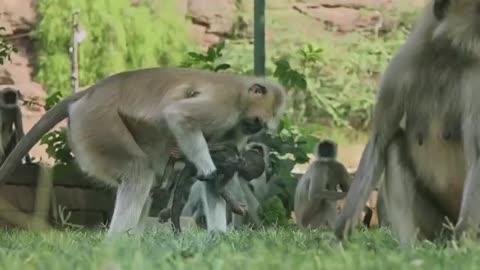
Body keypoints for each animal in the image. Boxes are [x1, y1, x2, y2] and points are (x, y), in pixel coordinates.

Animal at [334, 0, 480, 245]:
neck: (446, 55)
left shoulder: (476, 77)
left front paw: (461, 242)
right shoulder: (401, 66)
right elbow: (379, 141)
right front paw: (341, 230)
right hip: (436, 225)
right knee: (394, 146)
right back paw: (411, 248)